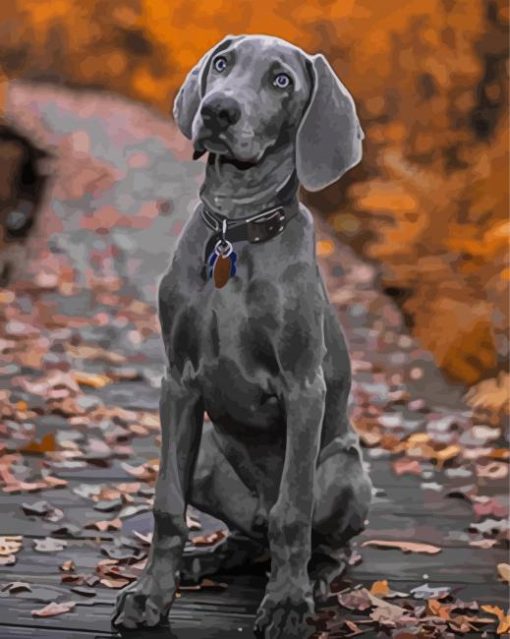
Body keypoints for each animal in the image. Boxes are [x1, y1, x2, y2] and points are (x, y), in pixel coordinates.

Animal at [113, 35, 372, 639]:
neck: (236, 229)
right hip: (209, 456)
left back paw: (313, 579)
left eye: (281, 81)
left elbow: (292, 515)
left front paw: (286, 604)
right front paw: (150, 595)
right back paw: (203, 560)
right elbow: (167, 506)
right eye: (222, 64)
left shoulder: (303, 388)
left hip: (346, 472)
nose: (218, 111)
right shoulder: (178, 382)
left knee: (323, 543)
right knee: (246, 537)